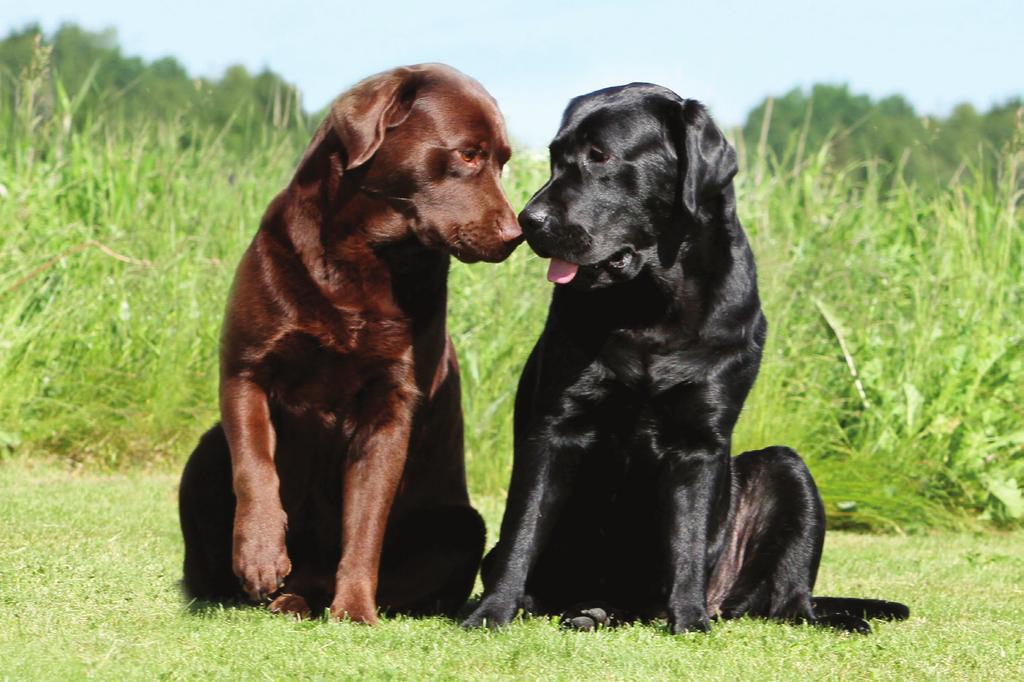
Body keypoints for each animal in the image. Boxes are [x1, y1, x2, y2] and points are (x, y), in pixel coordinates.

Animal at [175, 63, 520, 622]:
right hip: (203, 454)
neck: (364, 258)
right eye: (469, 154)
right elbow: (255, 468)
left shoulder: (390, 407)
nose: (517, 234)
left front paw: (355, 610)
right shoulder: (245, 371)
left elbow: (366, 523)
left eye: (504, 161)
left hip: (462, 527)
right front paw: (259, 553)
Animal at [460, 83, 909, 630]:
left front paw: (691, 620)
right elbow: (522, 530)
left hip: (788, 470)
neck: (652, 303)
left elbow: (689, 542)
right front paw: (491, 612)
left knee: (791, 599)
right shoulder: (555, 427)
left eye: (599, 156)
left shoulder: (699, 441)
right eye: (554, 156)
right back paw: (587, 611)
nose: (527, 222)